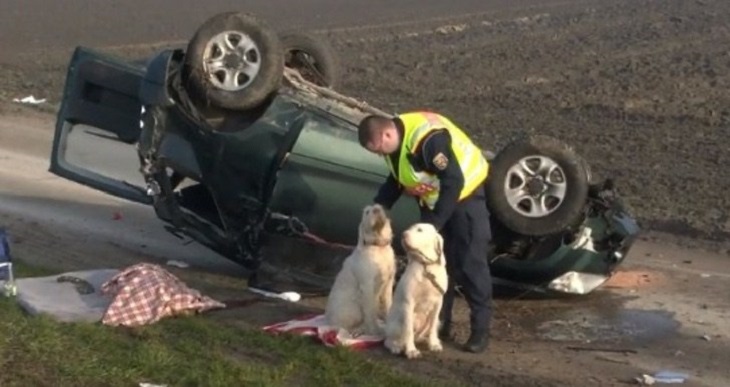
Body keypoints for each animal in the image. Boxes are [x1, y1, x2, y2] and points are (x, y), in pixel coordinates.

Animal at [322, 206, 396, 336]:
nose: (376, 209)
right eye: (367, 212)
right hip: (354, 308)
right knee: (341, 327)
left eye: (381, 207)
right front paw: (375, 331)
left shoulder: (388, 283)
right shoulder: (367, 286)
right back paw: (357, 331)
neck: (378, 246)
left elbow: (388, 305)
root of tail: (327, 320)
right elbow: (370, 312)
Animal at [384, 223, 446, 360]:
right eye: (410, 228)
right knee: (388, 340)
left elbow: (433, 327)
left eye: (419, 230)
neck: (426, 267)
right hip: (397, 323)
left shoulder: (438, 303)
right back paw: (395, 346)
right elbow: (408, 331)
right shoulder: (408, 303)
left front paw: (433, 343)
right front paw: (411, 350)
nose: (403, 234)